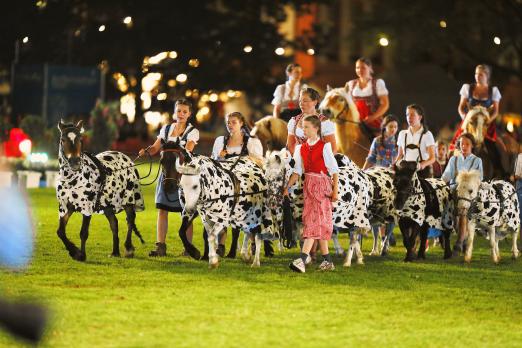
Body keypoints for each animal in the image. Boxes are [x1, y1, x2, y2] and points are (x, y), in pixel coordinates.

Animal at [55, 121, 144, 260]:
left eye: (80, 139)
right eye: (62, 140)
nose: (75, 162)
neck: (72, 180)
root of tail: (126, 157)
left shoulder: (87, 207)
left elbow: (83, 233)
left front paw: (81, 254)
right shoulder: (66, 206)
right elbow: (60, 232)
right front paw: (74, 251)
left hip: (128, 200)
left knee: (130, 220)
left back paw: (128, 248)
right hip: (107, 205)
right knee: (114, 223)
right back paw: (115, 251)